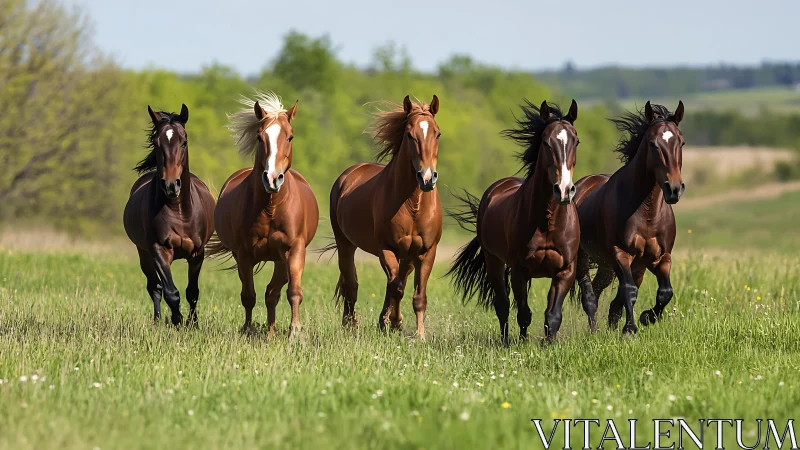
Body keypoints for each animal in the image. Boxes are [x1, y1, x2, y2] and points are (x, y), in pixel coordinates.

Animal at [123, 104, 216, 326]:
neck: (178, 211)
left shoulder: (197, 252)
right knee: (155, 287)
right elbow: (170, 292)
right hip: (144, 254)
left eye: (184, 141)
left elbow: (192, 291)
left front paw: (193, 324)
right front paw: (177, 320)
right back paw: (157, 321)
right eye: (157, 143)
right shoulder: (159, 250)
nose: (171, 185)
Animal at [208, 91, 318, 338]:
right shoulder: (244, 255)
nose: (272, 178)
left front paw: (295, 332)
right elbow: (248, 295)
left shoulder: (294, 250)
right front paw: (247, 329)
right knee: (264, 293)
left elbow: (293, 291)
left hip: (280, 260)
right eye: (260, 137)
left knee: (273, 293)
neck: (271, 208)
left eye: (290, 137)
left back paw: (271, 332)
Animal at [325, 95, 442, 339]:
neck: (413, 204)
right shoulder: (386, 249)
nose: (427, 177)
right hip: (345, 244)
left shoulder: (426, 252)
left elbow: (417, 295)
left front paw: (419, 334)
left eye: (437, 133)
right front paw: (396, 322)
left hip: (407, 256)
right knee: (352, 282)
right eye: (410, 134)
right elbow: (396, 287)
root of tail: (349, 174)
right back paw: (351, 324)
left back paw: (382, 321)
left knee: (395, 280)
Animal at [447, 100, 580, 345]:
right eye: (546, 142)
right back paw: (506, 341)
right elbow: (524, 313)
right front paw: (523, 343)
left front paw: (549, 344)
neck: (547, 222)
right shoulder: (520, 271)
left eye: (576, 141)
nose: (564, 190)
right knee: (502, 304)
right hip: (494, 262)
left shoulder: (565, 270)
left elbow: (553, 315)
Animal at [572, 101, 685, 334]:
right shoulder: (621, 254)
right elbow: (629, 291)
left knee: (600, 291)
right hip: (584, 259)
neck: (647, 214)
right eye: (653, 144)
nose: (674, 189)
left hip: (612, 267)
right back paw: (594, 331)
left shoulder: (660, 258)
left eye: (682, 142)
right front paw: (630, 329)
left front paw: (646, 318)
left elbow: (665, 292)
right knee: (589, 296)